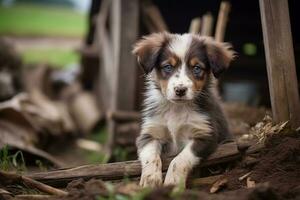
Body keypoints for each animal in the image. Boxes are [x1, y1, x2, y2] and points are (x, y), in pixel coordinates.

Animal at [133, 32, 234, 188]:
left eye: (197, 68)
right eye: (168, 66)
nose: (180, 90)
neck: (177, 108)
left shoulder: (205, 135)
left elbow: (180, 159)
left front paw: (173, 182)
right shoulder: (149, 134)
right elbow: (151, 156)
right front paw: (150, 180)